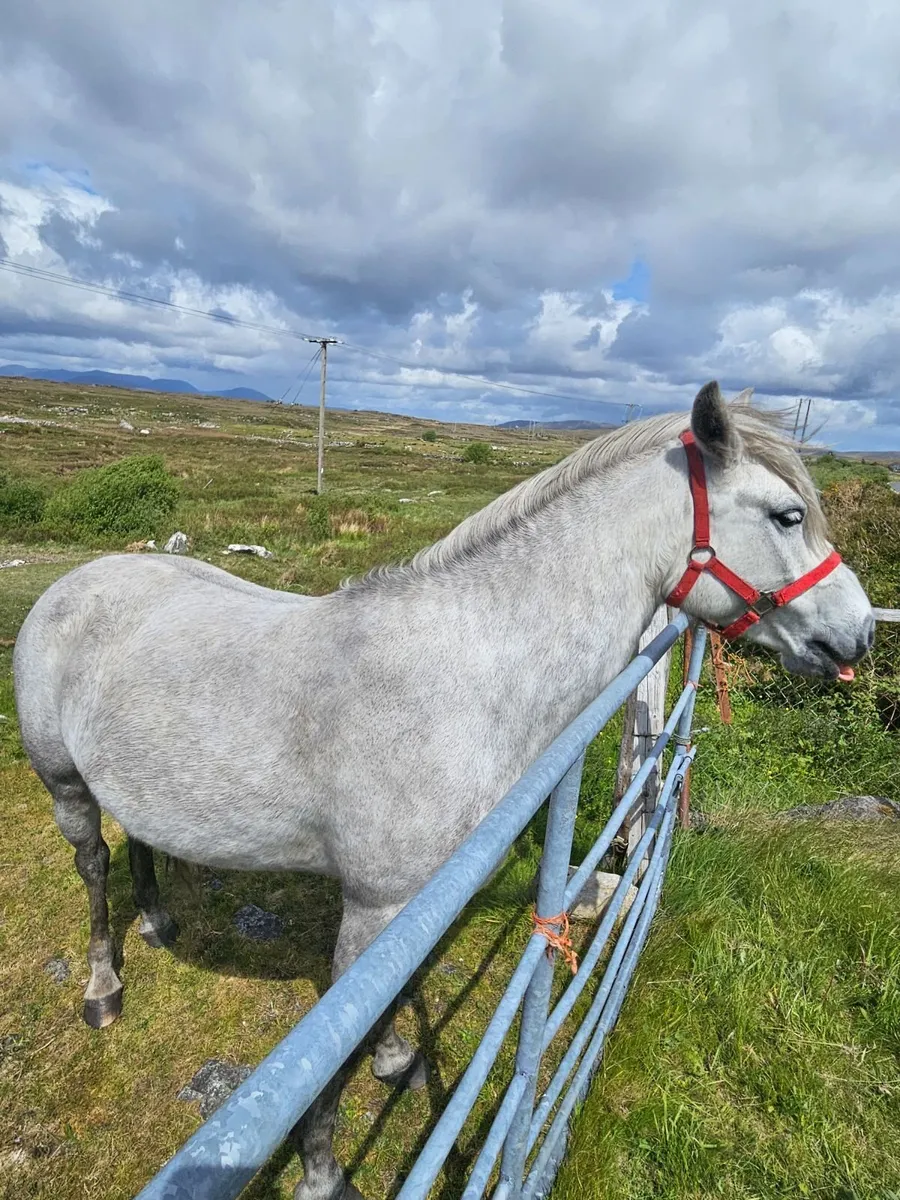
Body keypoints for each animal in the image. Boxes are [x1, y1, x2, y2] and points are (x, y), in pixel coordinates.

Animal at [13, 382, 874, 1200]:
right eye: (789, 514)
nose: (861, 633)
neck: (465, 674)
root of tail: (77, 581)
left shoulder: (415, 905)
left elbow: (395, 996)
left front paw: (396, 1058)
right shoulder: (376, 904)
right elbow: (336, 1048)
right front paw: (323, 1171)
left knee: (139, 838)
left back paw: (158, 921)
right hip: (65, 786)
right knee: (93, 865)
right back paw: (103, 986)